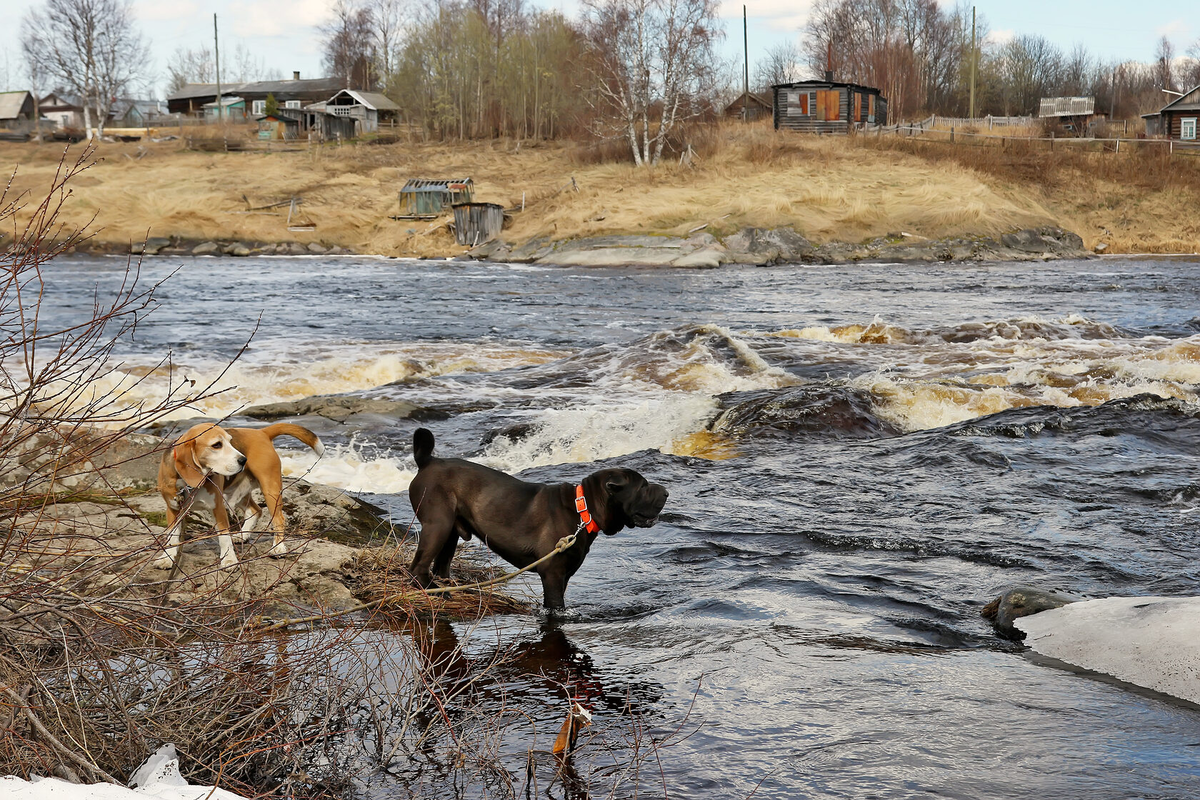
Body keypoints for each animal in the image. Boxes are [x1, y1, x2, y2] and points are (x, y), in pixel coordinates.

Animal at [154, 422, 324, 573]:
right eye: (217, 445)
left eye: (230, 442)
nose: (243, 460)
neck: (188, 484)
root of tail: (261, 432)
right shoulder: (173, 508)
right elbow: (172, 537)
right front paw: (167, 558)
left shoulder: (218, 508)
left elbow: (224, 537)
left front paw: (229, 560)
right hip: (237, 492)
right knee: (255, 510)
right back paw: (243, 535)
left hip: (270, 488)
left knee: (279, 519)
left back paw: (278, 547)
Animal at [403, 429, 667, 609]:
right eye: (643, 487)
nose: (666, 492)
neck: (583, 509)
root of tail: (427, 462)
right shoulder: (553, 575)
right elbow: (555, 607)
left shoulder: (563, 577)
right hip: (438, 524)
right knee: (417, 568)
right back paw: (433, 590)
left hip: (451, 531)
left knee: (440, 565)